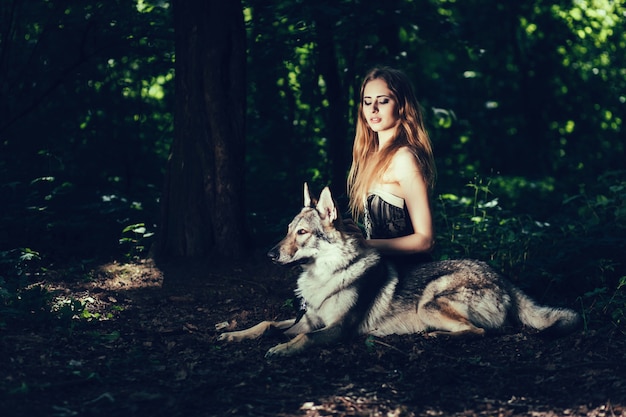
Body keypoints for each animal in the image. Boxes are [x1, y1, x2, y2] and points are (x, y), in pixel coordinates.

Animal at [217, 184, 576, 356]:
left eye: (302, 233)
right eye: (288, 230)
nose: (269, 254)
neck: (328, 275)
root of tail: (503, 279)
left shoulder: (337, 329)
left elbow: (304, 338)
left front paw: (280, 349)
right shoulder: (305, 319)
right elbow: (265, 323)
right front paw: (234, 334)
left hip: (429, 302)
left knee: (478, 332)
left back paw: (435, 336)